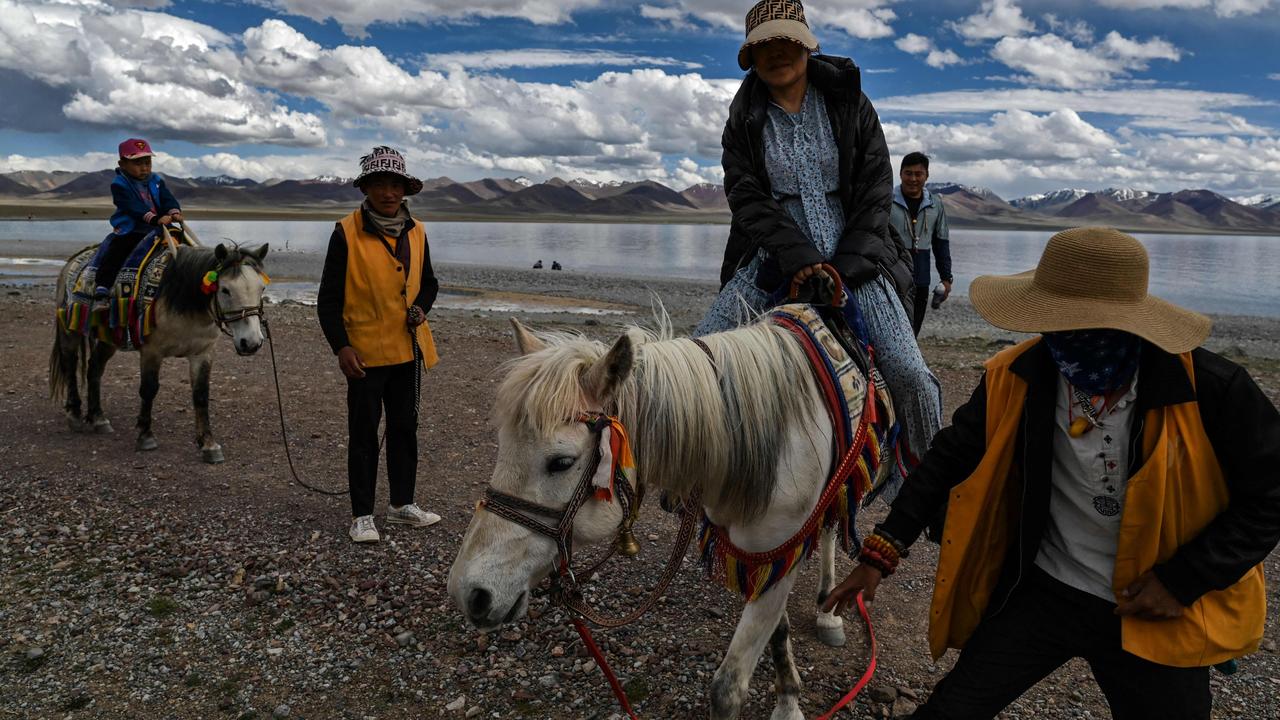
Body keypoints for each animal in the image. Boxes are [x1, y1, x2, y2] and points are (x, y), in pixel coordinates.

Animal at [49, 243, 270, 461]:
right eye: (225, 290)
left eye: (262, 288)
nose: (251, 342)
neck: (184, 301)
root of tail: (73, 260)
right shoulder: (152, 351)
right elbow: (149, 389)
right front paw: (145, 436)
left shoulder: (203, 353)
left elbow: (201, 395)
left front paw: (209, 445)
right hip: (70, 331)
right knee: (70, 365)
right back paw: (75, 415)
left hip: (108, 340)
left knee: (94, 369)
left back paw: (98, 419)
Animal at [450, 317, 860, 717]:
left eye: (562, 462)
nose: (470, 592)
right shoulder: (764, 561)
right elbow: (777, 630)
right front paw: (788, 695)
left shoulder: (781, 549)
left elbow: (727, 690)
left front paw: (787, 704)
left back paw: (829, 608)